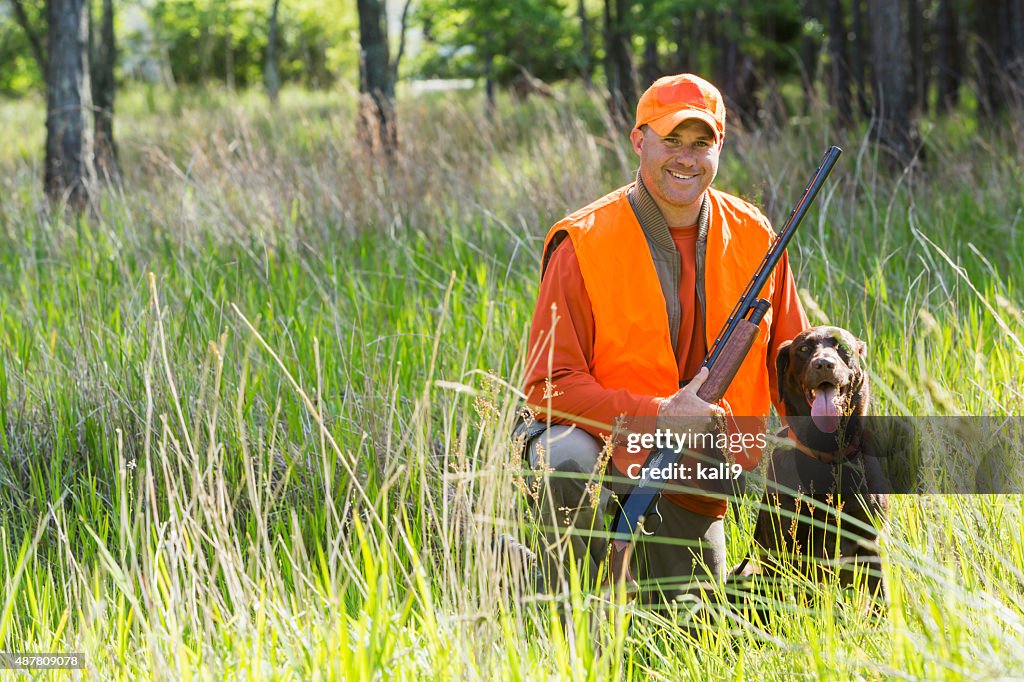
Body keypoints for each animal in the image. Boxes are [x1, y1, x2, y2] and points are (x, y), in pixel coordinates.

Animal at [745, 323, 888, 602]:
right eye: (803, 349)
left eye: (841, 347)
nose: (823, 364)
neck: (829, 456)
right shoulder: (789, 549)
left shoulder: (870, 542)